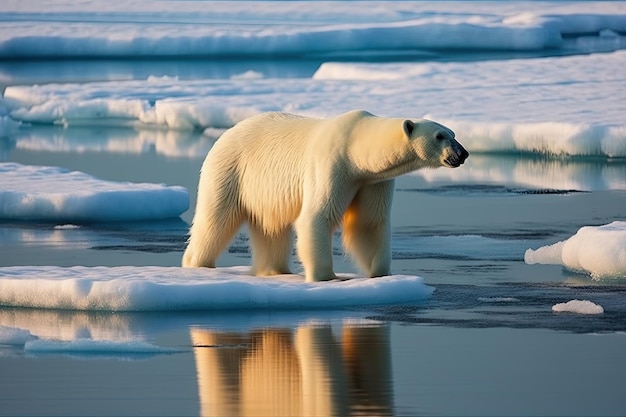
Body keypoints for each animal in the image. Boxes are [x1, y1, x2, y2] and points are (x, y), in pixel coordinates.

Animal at [183, 109, 466, 282]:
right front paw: (326, 277)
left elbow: (368, 223)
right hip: (230, 171)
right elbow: (318, 216)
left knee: (271, 229)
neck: (355, 148)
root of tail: (224, 135)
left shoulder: (372, 181)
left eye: (453, 133)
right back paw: (197, 263)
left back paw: (275, 270)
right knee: (215, 219)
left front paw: (380, 273)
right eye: (440, 136)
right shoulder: (332, 166)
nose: (462, 154)